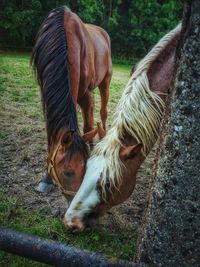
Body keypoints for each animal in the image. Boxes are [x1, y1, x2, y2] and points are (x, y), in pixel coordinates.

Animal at [31, 6, 112, 200]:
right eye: (67, 172)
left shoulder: (85, 95)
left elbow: (88, 126)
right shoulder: (45, 94)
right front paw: (46, 179)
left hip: (105, 82)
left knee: (103, 113)